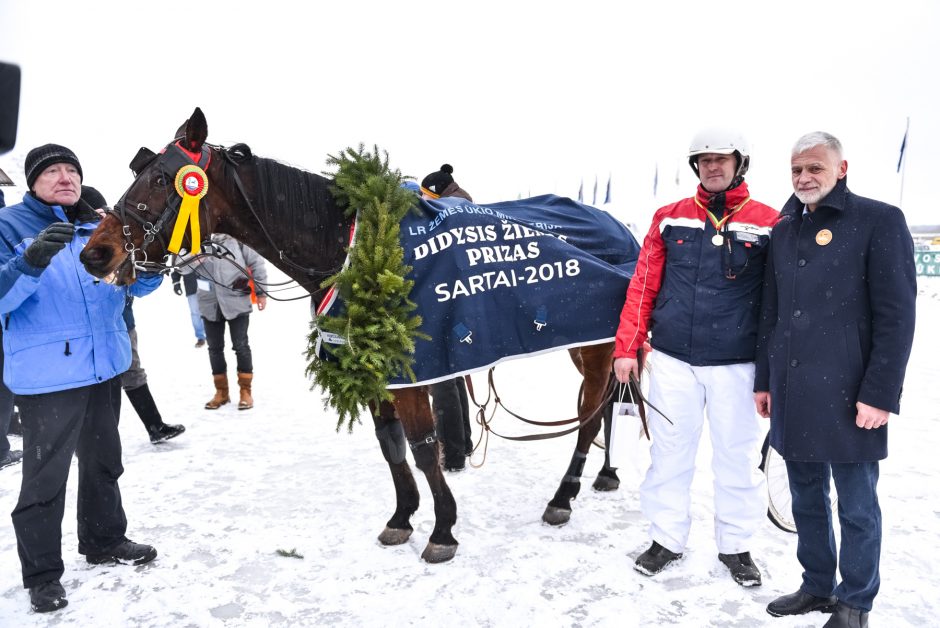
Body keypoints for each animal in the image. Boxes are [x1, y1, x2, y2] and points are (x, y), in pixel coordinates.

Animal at [81, 108, 624, 564]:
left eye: (159, 178)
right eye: (140, 173)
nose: (96, 252)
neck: (359, 250)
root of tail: (616, 222)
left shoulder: (410, 371)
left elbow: (423, 447)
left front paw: (442, 529)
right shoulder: (371, 368)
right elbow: (391, 445)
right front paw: (403, 517)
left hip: (595, 343)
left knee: (591, 412)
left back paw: (564, 495)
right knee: (599, 405)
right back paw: (601, 474)